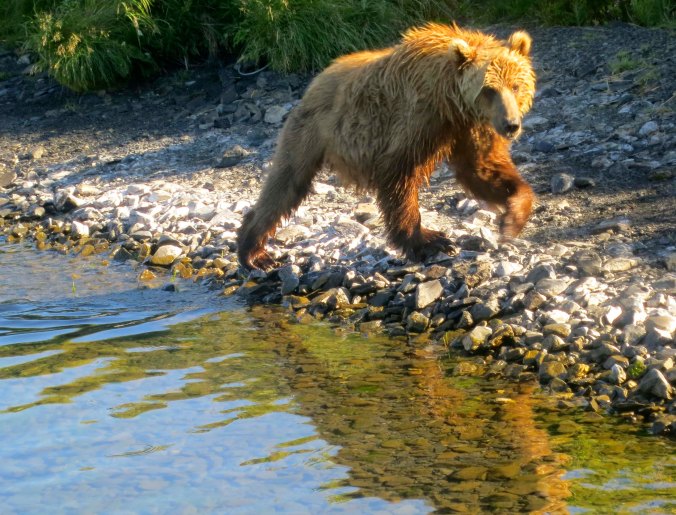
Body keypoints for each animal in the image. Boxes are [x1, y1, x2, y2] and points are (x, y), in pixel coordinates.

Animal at [237, 23, 536, 270]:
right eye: (489, 90)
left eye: (516, 85)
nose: (511, 124)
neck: (450, 102)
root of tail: (314, 81)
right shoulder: (418, 119)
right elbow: (398, 174)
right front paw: (429, 241)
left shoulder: (469, 129)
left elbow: (481, 169)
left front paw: (511, 220)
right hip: (311, 131)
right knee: (286, 184)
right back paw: (254, 252)